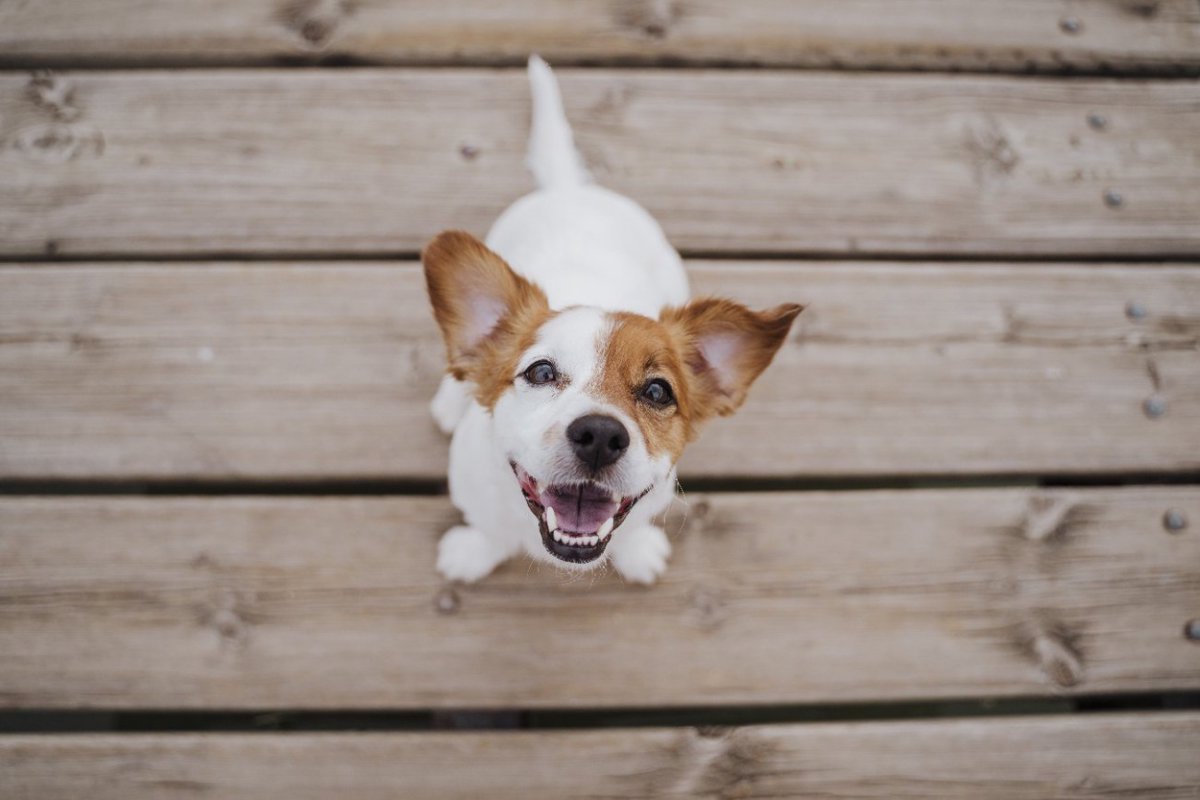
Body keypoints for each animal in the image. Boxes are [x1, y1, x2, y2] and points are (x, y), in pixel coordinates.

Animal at [417, 54, 801, 582]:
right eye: (541, 372)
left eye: (658, 392)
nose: (600, 435)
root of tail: (570, 188)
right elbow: (489, 529)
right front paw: (472, 552)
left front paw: (637, 552)